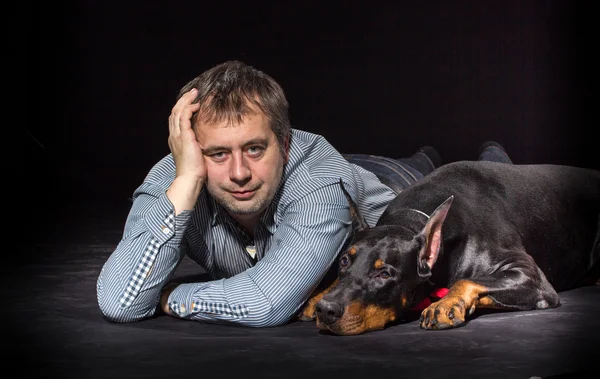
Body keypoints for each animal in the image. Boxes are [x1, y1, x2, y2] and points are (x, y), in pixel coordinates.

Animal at [302, 160, 596, 336]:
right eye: (344, 261)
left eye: (384, 274)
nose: (326, 311)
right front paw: (317, 296)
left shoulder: (531, 276)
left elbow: (467, 280)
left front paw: (445, 304)